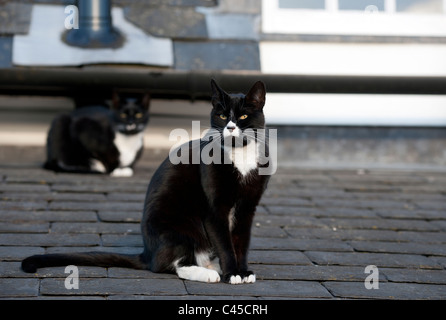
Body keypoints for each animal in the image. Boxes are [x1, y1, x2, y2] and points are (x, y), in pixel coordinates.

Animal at [21, 80, 272, 284]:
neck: (240, 157)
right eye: (222, 116)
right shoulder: (215, 209)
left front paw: (243, 271)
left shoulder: (247, 207)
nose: (230, 127)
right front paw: (232, 274)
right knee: (166, 264)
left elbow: (241, 242)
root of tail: (147, 251)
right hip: (177, 226)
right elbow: (225, 244)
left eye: (242, 117)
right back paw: (207, 273)